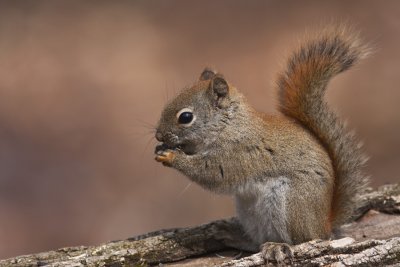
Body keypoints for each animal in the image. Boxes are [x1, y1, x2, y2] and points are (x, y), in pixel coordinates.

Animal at [155, 27, 370, 264]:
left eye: (185, 117)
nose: (157, 135)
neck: (229, 125)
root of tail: (325, 224)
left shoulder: (236, 153)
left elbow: (211, 174)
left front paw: (172, 157)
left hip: (291, 204)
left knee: (306, 239)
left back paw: (279, 245)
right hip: (249, 212)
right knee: (257, 240)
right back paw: (232, 236)